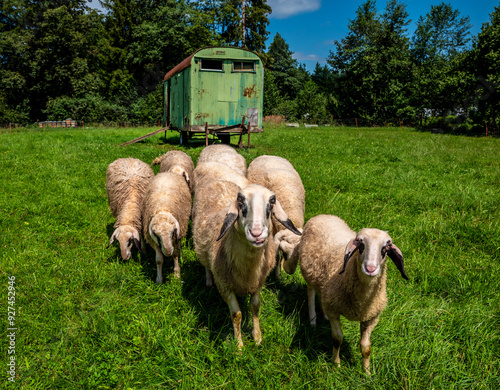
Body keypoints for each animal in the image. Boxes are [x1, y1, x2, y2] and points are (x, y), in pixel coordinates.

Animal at [191, 180, 300, 348]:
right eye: (240, 200)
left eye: (272, 201)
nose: (256, 234)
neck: (249, 267)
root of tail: (218, 181)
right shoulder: (224, 286)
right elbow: (236, 314)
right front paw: (239, 345)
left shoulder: (259, 281)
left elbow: (255, 306)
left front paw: (257, 337)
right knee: (206, 264)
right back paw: (208, 279)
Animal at [296, 215, 406, 374]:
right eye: (360, 244)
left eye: (385, 248)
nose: (370, 268)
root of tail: (324, 215)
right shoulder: (334, 311)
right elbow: (337, 339)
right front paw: (336, 364)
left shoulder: (371, 318)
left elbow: (366, 347)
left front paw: (367, 372)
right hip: (309, 273)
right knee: (310, 292)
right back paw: (312, 319)